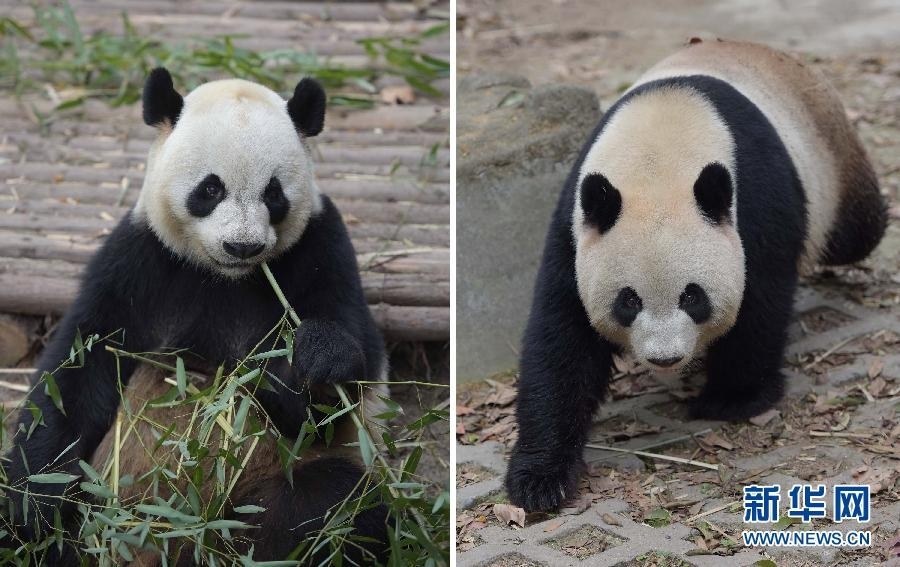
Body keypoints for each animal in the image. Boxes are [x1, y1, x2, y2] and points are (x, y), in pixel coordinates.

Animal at [3, 66, 390, 564]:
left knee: (332, 509)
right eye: (210, 188)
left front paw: (317, 358)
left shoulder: (320, 247)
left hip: (263, 492)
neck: (223, 278)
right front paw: (35, 506)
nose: (242, 246)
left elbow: (324, 405)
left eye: (274, 193)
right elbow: (79, 370)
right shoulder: (140, 261)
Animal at [506, 37, 884, 512]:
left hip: (829, 164)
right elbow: (562, 339)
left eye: (692, 296)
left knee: (858, 231)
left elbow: (759, 303)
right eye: (628, 301)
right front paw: (540, 479)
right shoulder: (576, 225)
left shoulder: (755, 201)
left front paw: (732, 398)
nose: (665, 358)